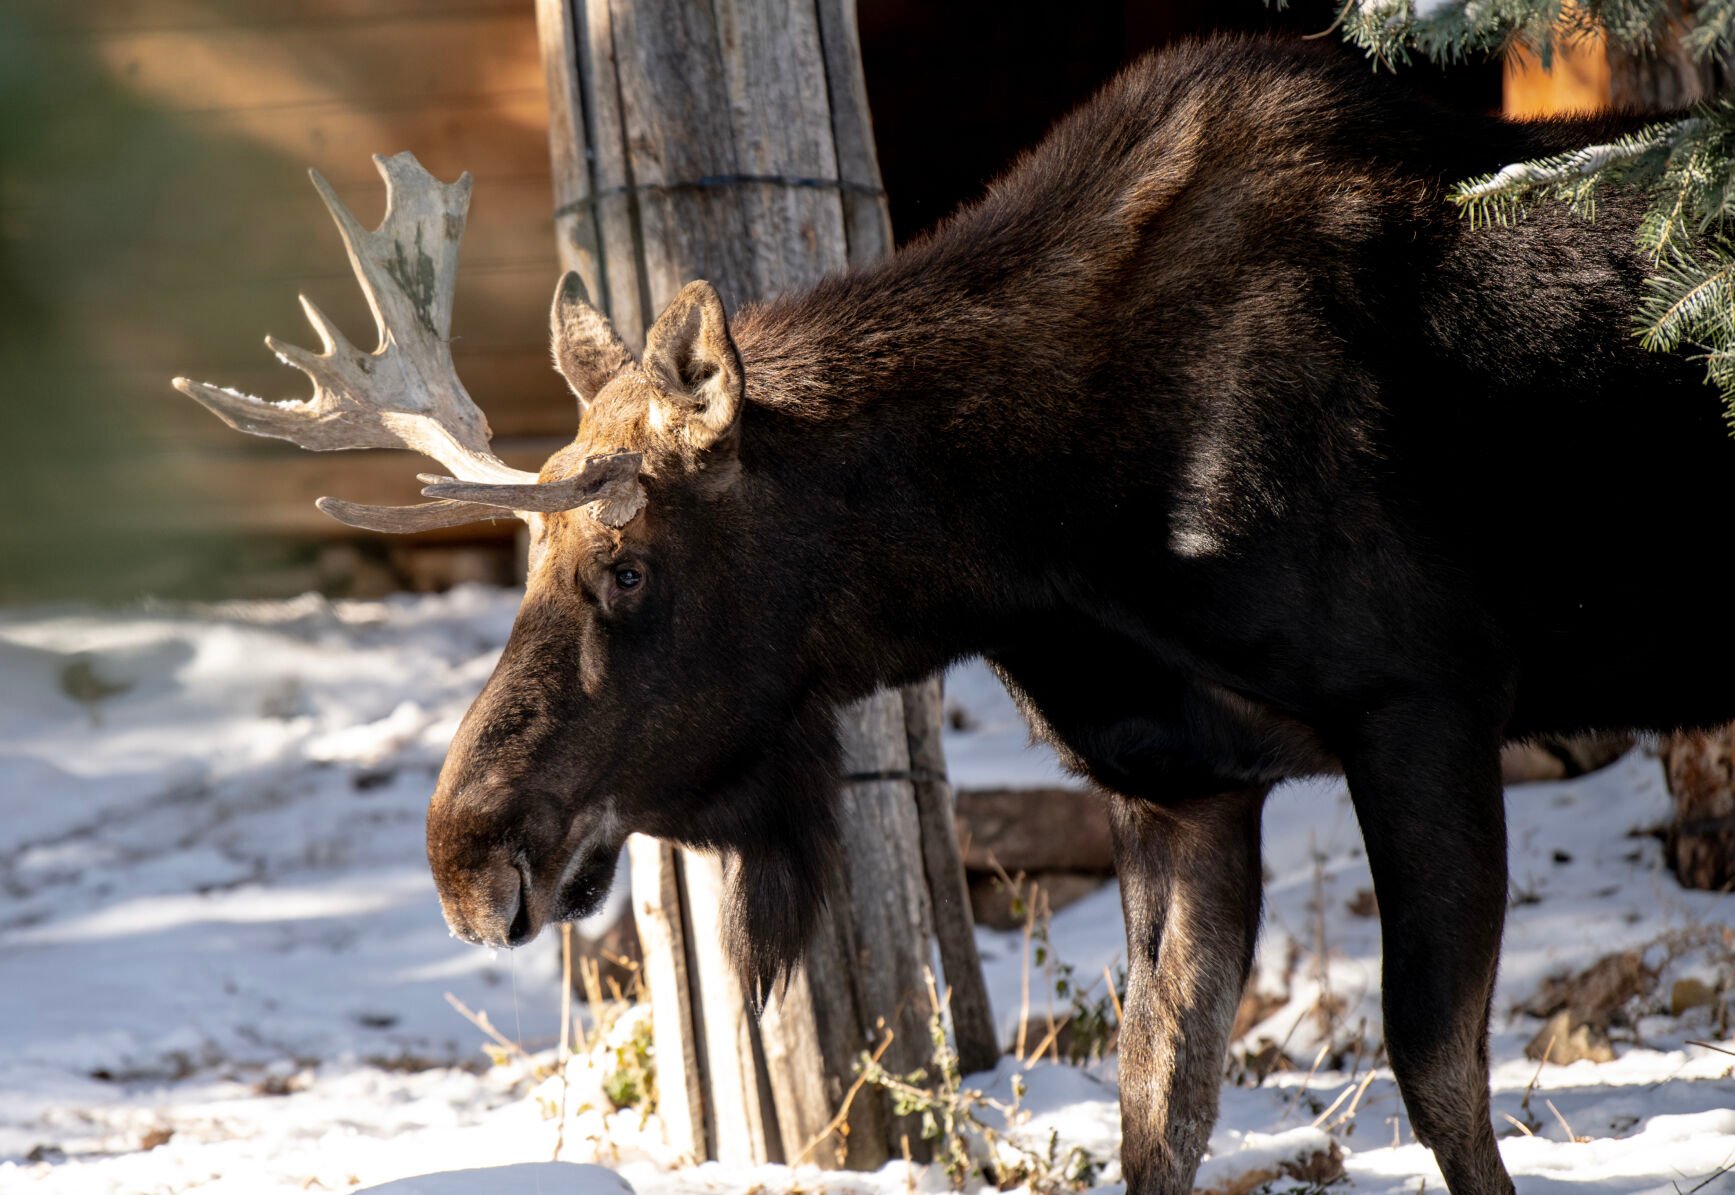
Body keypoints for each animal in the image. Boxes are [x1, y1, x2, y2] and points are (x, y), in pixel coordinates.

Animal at [176, 37, 1735, 1195]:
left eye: (623, 570)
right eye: (524, 556)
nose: (465, 856)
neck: (1047, 536)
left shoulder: (1425, 704)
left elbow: (1440, 1079)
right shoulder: (1180, 778)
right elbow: (1156, 1100)